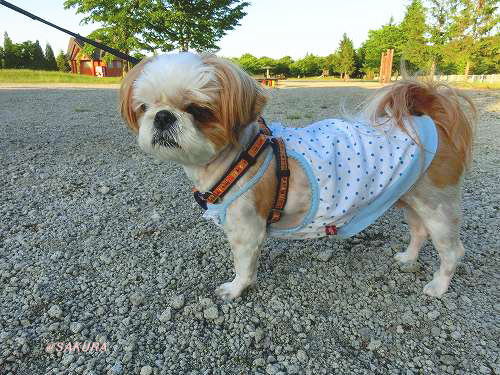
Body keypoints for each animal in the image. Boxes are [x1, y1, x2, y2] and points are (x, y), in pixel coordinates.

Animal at [119, 53, 474, 302]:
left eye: (198, 110)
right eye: (144, 107)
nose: (163, 117)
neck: (236, 157)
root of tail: (429, 119)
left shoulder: (247, 230)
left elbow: (243, 266)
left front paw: (235, 289)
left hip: (438, 206)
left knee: (452, 251)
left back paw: (438, 286)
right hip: (411, 198)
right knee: (419, 232)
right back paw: (408, 257)